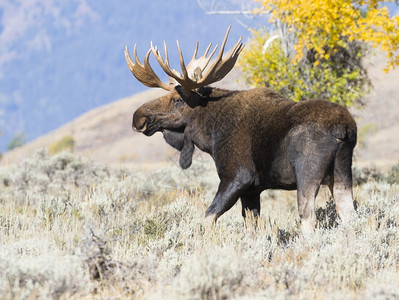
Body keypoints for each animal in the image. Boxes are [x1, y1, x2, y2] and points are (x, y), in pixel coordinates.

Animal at [126, 26, 358, 237]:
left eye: (178, 100)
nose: (138, 117)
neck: (209, 134)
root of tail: (343, 127)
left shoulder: (237, 177)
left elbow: (208, 217)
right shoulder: (252, 190)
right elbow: (250, 227)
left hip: (307, 172)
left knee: (308, 218)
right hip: (341, 174)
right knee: (349, 215)